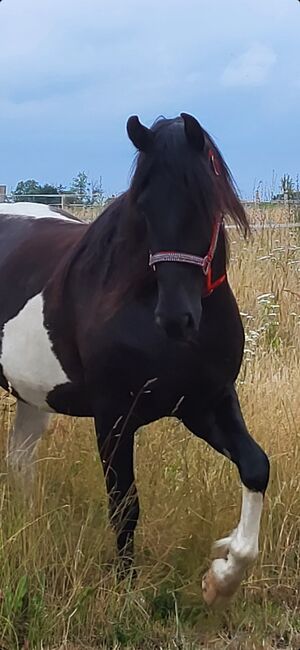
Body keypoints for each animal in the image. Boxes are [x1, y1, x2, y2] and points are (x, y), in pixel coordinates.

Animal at [0, 114, 268, 604]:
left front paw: (221, 577)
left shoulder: (205, 404)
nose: (177, 318)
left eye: (206, 200)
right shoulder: (114, 418)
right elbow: (124, 505)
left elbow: (256, 467)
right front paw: (126, 593)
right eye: (142, 204)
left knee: (20, 459)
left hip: (33, 394)